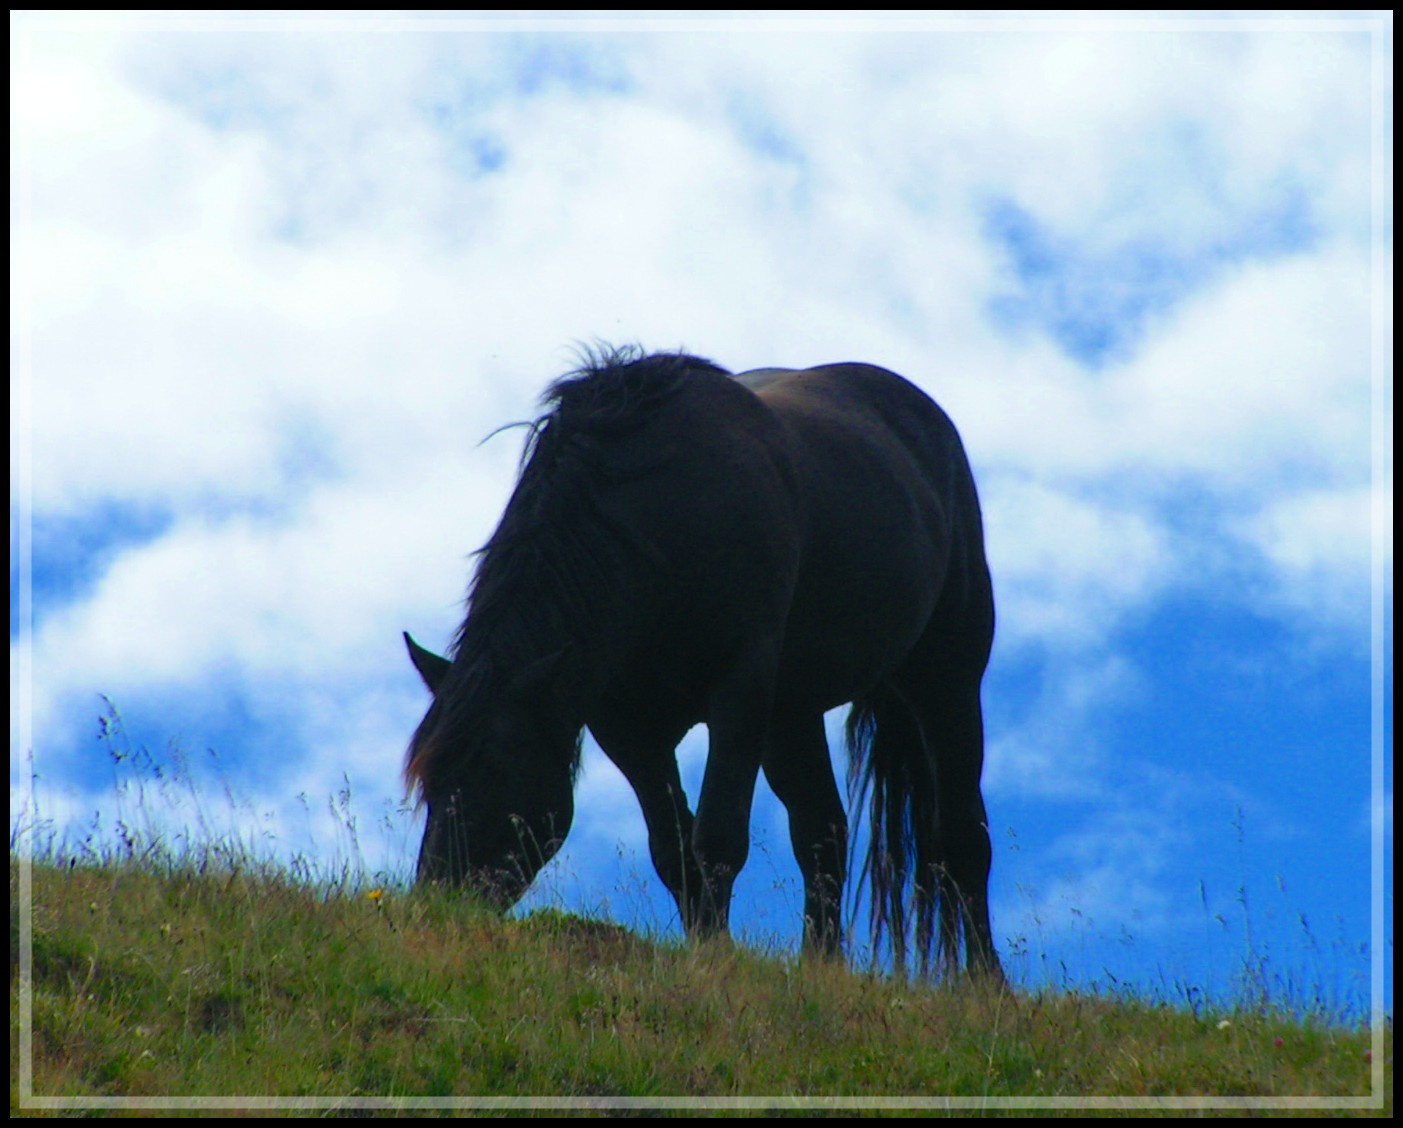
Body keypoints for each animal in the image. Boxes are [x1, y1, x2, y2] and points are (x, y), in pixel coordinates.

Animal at [401, 346, 1004, 976]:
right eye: (429, 783)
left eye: (497, 769)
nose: (436, 902)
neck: (662, 521)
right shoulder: (631, 731)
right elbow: (674, 852)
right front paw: (706, 948)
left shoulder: (739, 691)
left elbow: (717, 838)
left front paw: (715, 960)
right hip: (793, 713)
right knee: (823, 833)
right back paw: (821, 968)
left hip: (946, 680)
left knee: (962, 837)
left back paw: (985, 982)